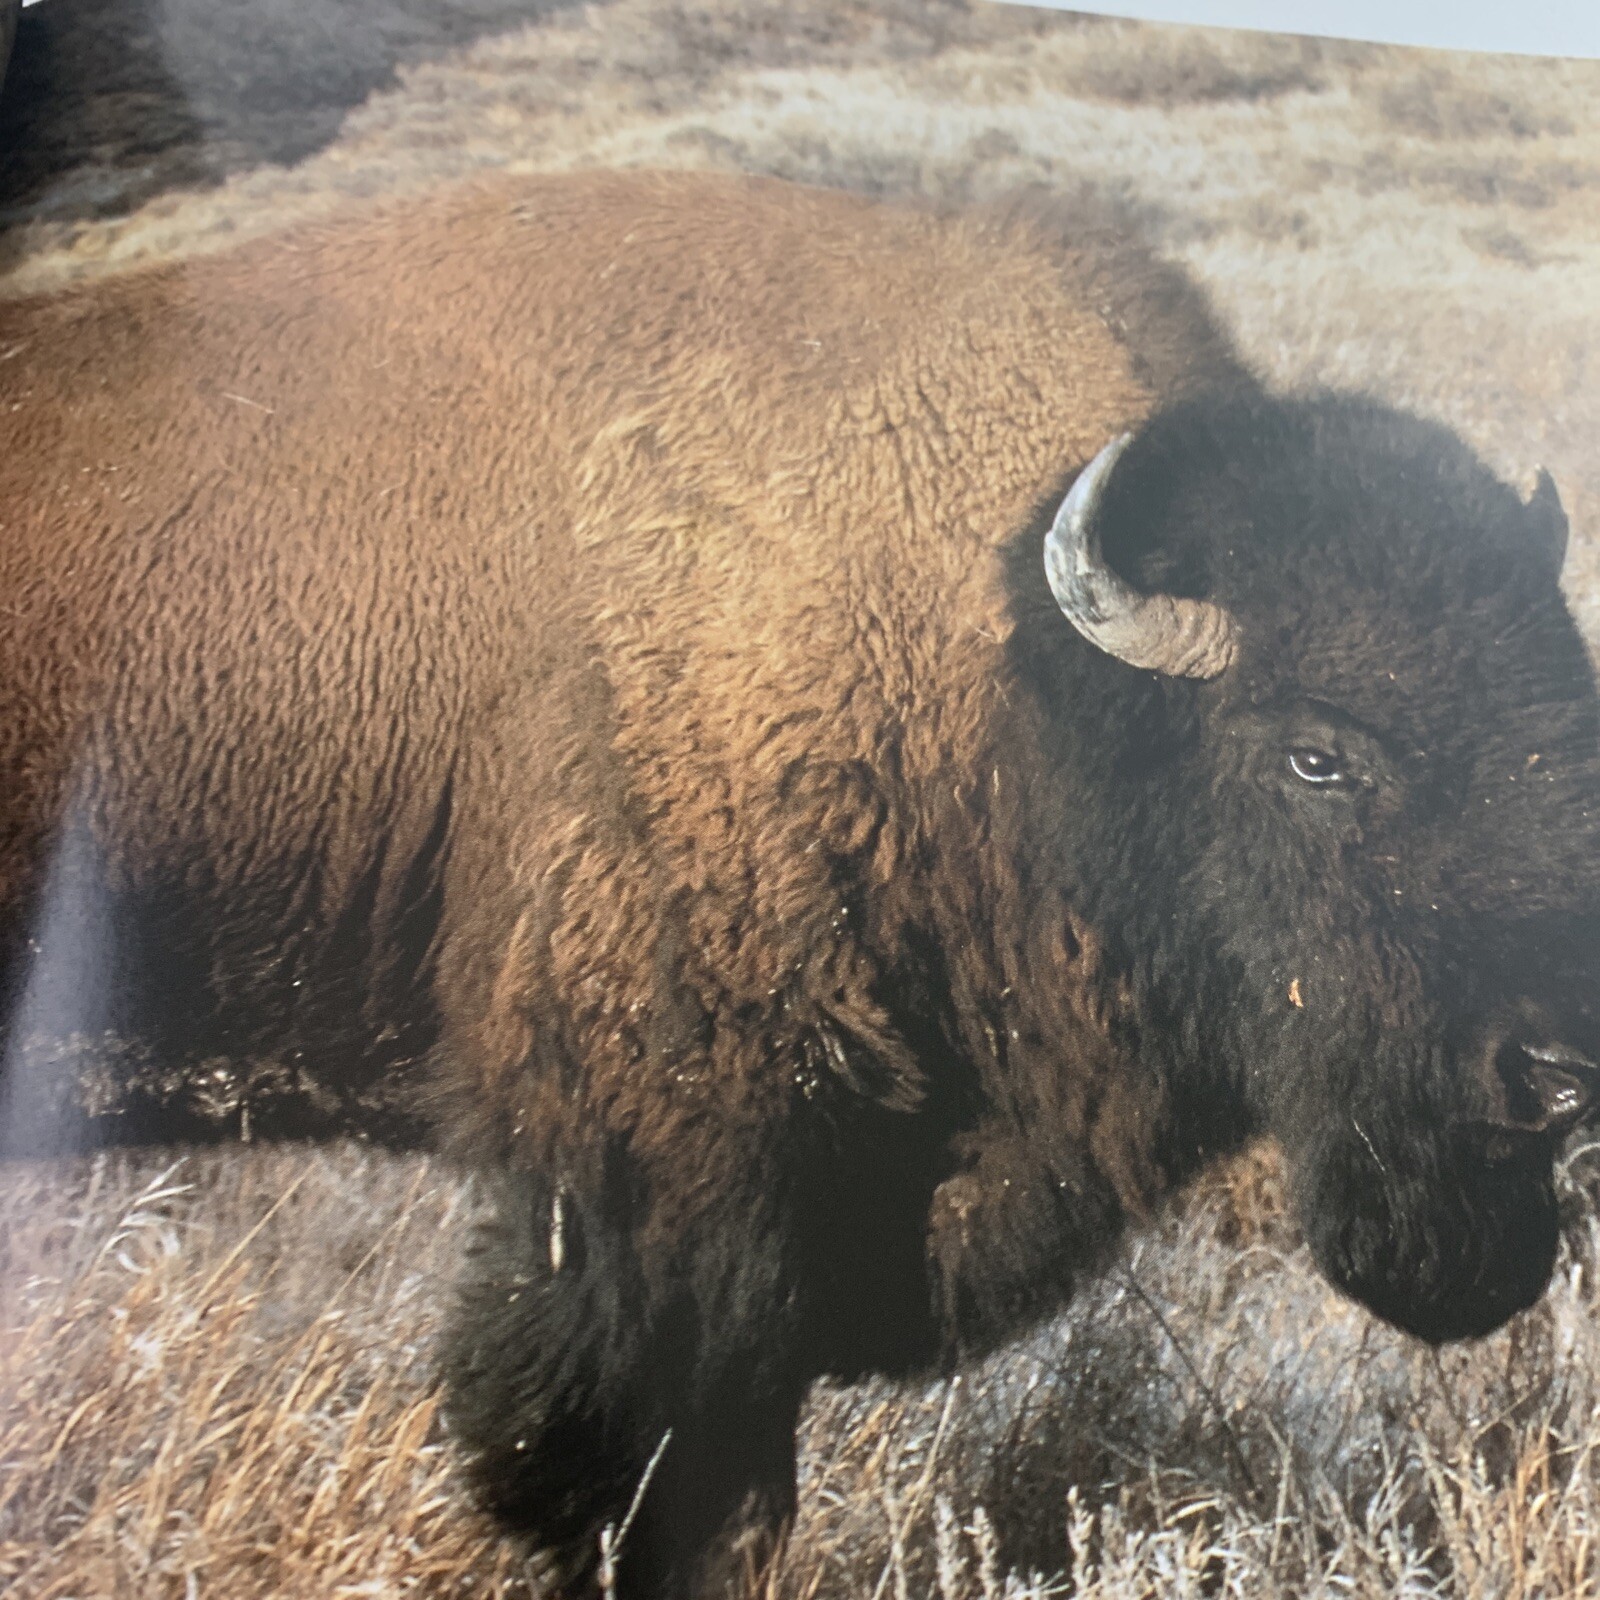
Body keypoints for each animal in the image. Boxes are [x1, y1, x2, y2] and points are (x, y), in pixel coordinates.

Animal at [2, 170, 1599, 1596]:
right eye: (1319, 757)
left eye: (1571, 735)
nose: (1558, 1069)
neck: (991, 659)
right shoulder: (655, 1212)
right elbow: (647, 1486)